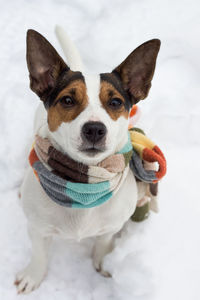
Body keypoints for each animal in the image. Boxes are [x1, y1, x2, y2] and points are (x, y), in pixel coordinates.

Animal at [14, 27, 161, 294]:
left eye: (115, 102)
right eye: (67, 100)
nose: (94, 129)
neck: (84, 183)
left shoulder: (111, 227)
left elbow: (102, 245)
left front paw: (101, 264)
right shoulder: (38, 229)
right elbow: (39, 254)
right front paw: (33, 275)